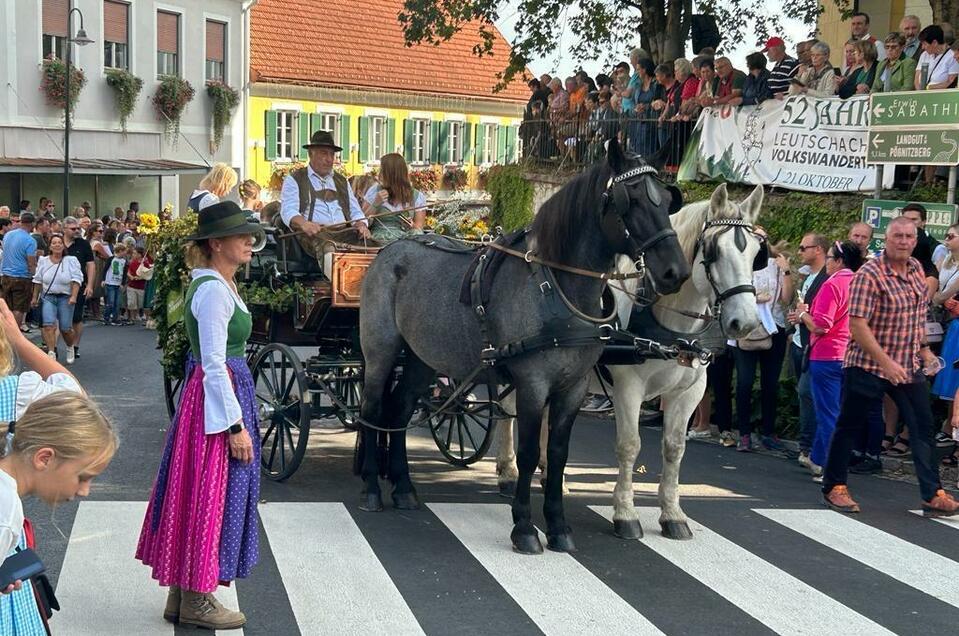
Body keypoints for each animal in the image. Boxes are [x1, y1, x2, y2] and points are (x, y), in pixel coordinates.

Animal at [356, 138, 688, 552]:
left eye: (667, 199)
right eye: (633, 200)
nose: (675, 272)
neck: (557, 290)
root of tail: (389, 250)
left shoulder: (574, 387)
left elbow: (557, 455)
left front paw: (558, 526)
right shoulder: (533, 384)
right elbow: (530, 453)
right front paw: (525, 528)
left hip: (422, 360)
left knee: (399, 411)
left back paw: (403, 488)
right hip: (381, 353)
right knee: (371, 411)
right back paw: (371, 488)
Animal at [496, 184, 764, 540]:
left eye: (757, 255)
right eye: (713, 251)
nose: (745, 323)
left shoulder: (690, 391)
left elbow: (674, 448)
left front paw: (672, 514)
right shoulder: (628, 388)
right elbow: (629, 446)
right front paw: (625, 512)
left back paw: (555, 478)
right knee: (506, 410)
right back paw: (507, 471)